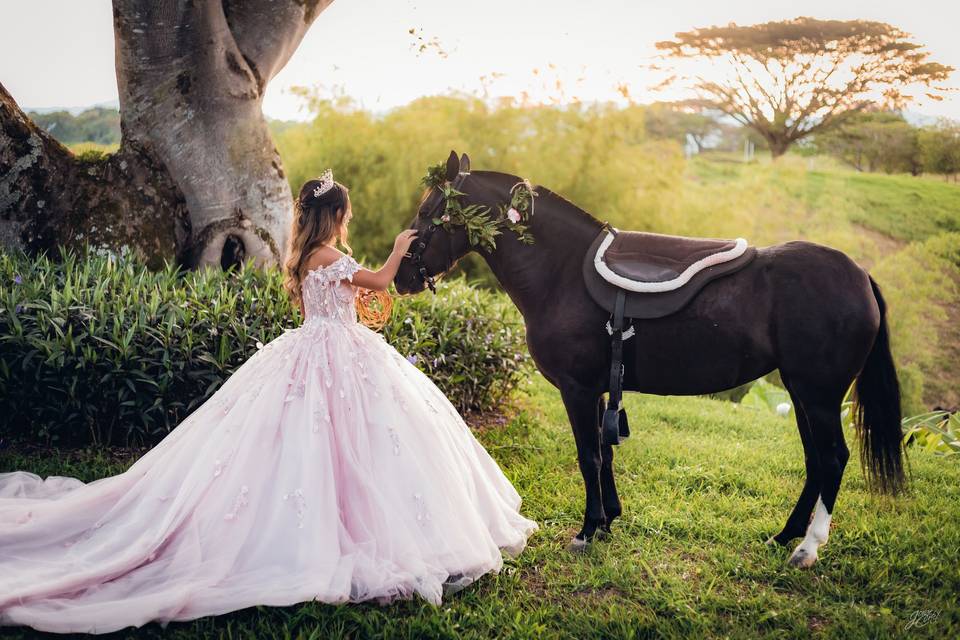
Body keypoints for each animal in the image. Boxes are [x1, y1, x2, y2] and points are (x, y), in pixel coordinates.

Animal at [394, 152, 904, 568]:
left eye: (427, 212)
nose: (400, 277)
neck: (562, 272)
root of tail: (859, 275)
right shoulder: (599, 388)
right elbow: (604, 454)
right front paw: (607, 522)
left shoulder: (578, 389)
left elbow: (587, 456)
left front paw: (587, 531)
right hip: (802, 395)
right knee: (816, 461)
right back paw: (783, 537)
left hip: (819, 396)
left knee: (833, 458)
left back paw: (808, 547)